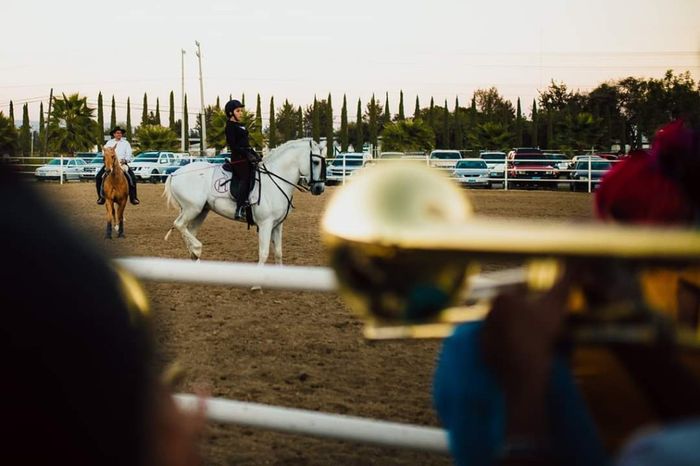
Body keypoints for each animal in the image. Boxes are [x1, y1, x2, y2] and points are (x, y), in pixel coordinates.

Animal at [165, 137, 328, 262]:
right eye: (316, 162)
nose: (319, 188)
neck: (276, 180)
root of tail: (175, 174)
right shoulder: (265, 224)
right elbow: (264, 254)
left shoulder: (277, 225)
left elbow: (278, 253)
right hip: (192, 208)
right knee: (179, 224)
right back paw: (197, 248)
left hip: (202, 211)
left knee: (189, 231)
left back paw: (195, 254)